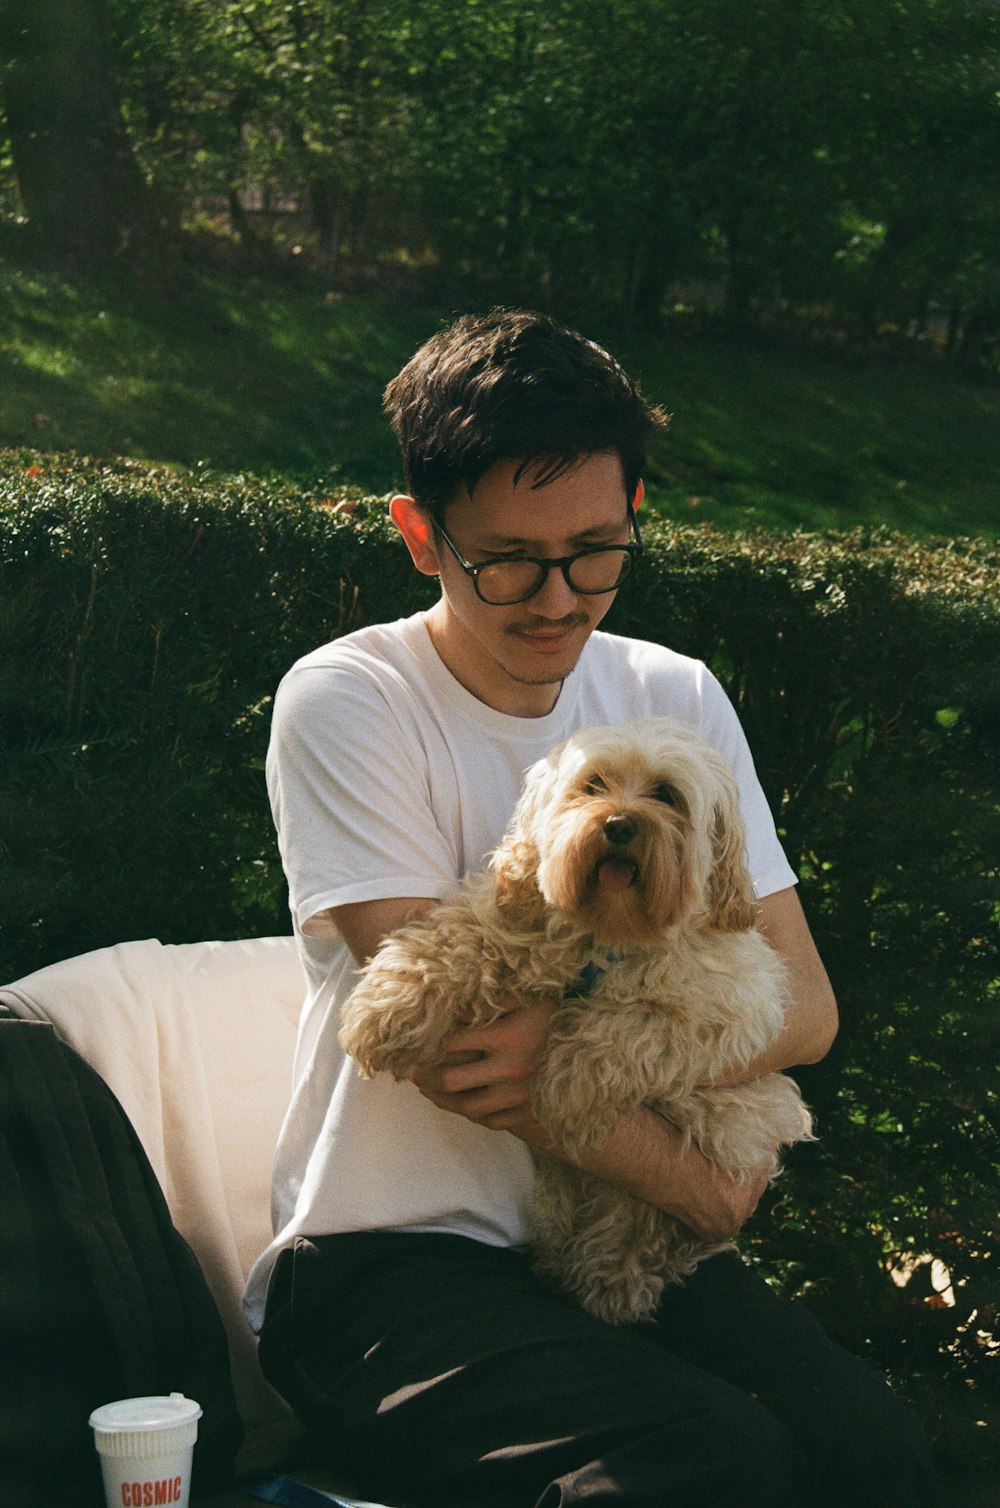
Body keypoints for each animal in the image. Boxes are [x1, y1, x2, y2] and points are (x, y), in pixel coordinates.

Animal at [340, 717, 820, 1321]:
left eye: (666, 795)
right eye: (593, 785)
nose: (619, 825)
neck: (607, 933)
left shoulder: (731, 1012)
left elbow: (628, 1028)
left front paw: (564, 1090)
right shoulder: (514, 925)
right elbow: (452, 945)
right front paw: (384, 1010)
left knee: (636, 1227)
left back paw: (607, 1284)